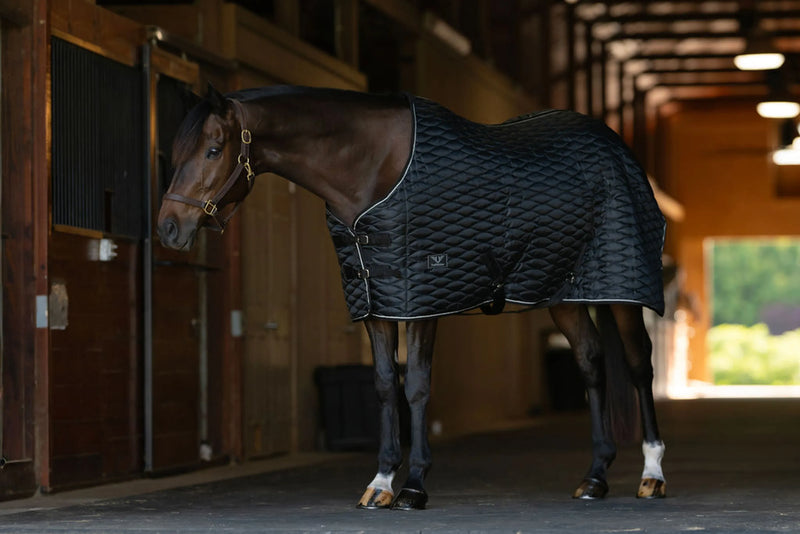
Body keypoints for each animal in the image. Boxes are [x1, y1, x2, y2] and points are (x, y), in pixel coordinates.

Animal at [157, 84, 667, 510]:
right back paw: (595, 477)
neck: (373, 165)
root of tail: (615, 143)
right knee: (591, 363)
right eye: (177, 151)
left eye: (213, 150)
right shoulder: (376, 301)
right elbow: (385, 385)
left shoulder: (421, 299)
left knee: (639, 365)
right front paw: (380, 484)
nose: (168, 229)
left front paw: (414, 487)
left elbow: (417, 386)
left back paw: (652, 475)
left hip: (622, 290)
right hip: (562, 294)